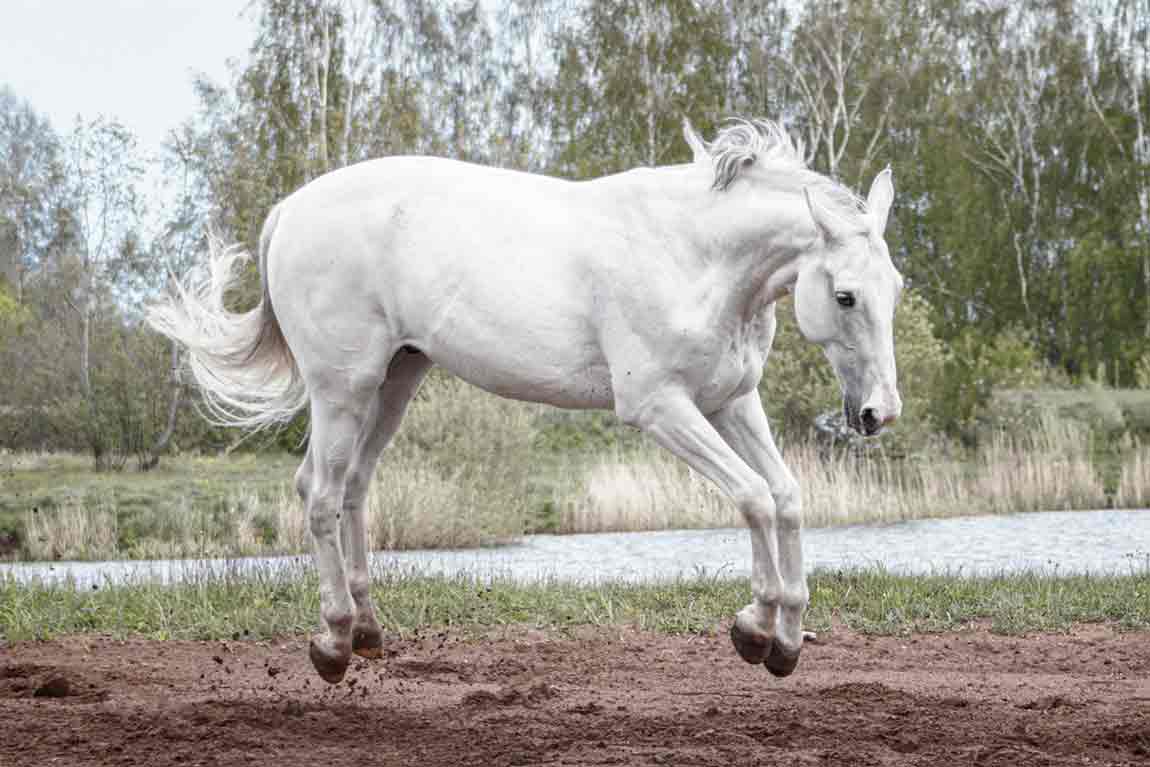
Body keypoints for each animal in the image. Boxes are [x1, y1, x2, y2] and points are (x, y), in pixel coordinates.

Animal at [148, 120, 901, 685]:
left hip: (395, 383)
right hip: (343, 390)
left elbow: (786, 496)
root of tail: (289, 210)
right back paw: (333, 642)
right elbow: (752, 497)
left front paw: (783, 640)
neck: (693, 256)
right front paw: (757, 627)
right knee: (320, 493)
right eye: (844, 296)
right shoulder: (661, 407)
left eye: (894, 286)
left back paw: (366, 631)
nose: (879, 413)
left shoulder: (731, 401)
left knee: (354, 488)